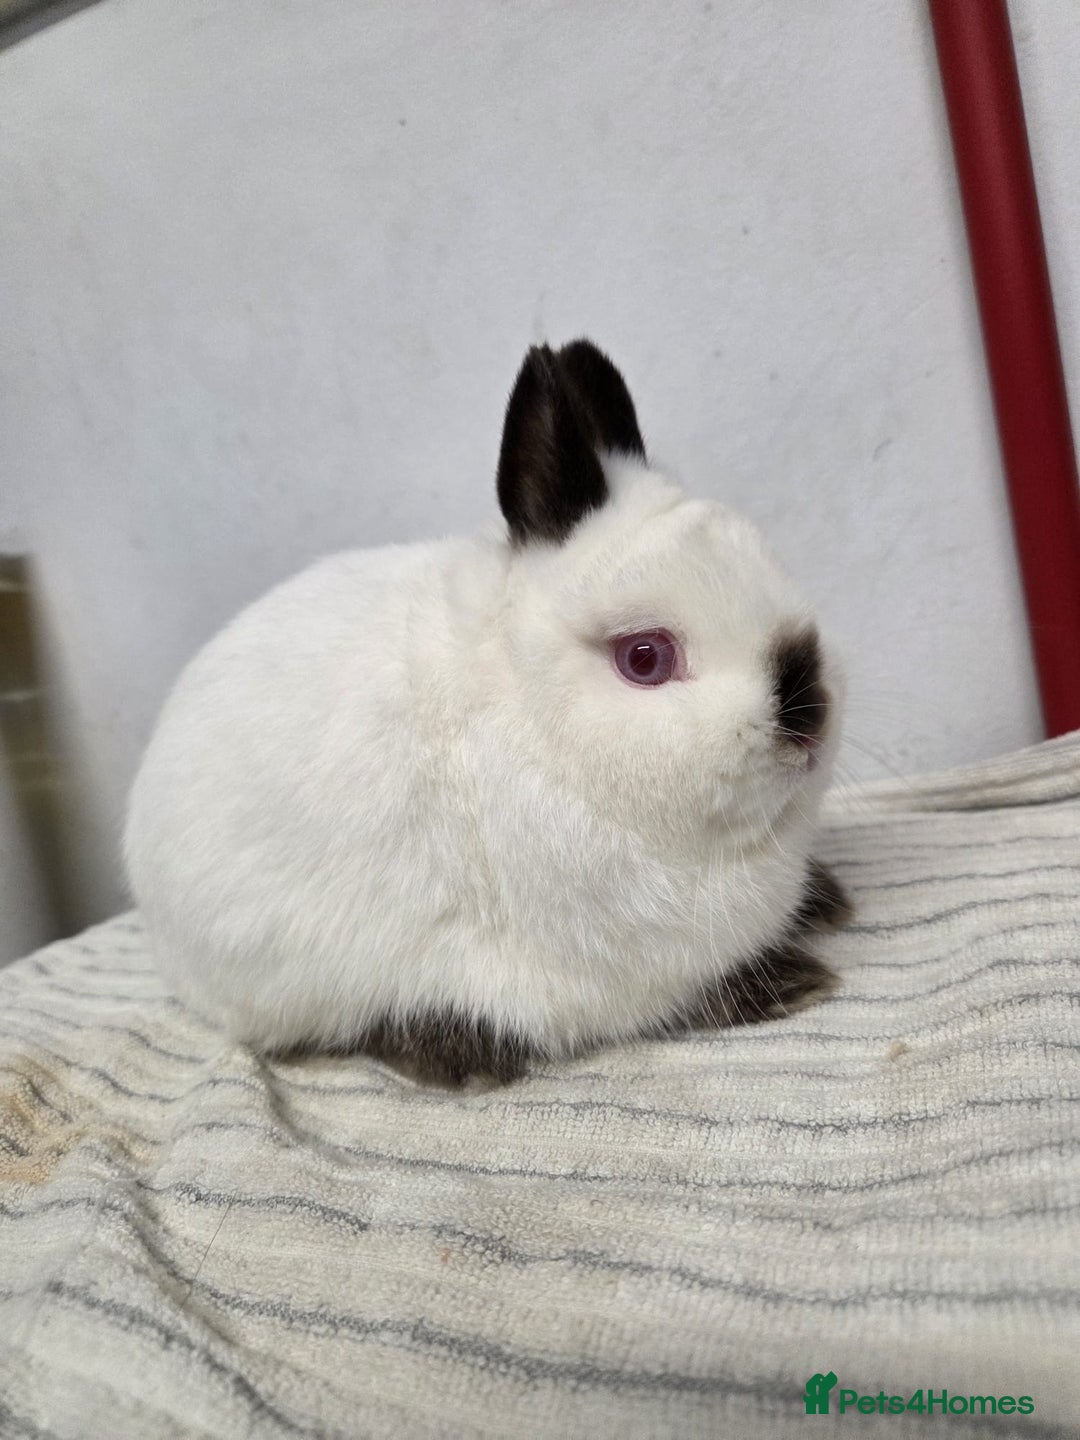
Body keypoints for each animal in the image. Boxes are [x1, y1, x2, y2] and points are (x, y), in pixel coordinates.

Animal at [124, 339, 850, 1086]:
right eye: (644, 658)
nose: (808, 714)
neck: (532, 720)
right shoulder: (631, 974)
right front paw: (794, 981)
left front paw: (827, 902)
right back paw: (462, 1055)